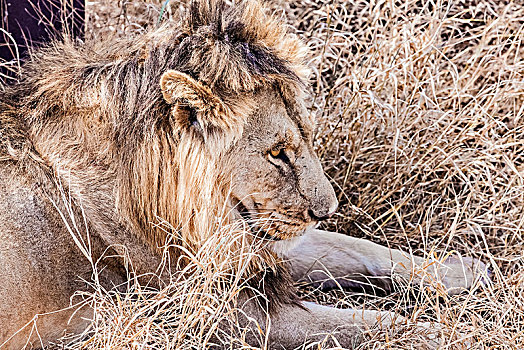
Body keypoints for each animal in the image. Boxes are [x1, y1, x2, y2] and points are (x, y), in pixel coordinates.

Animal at [0, 0, 488, 350]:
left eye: (306, 137)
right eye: (277, 153)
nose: (326, 209)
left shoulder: (252, 242)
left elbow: (353, 248)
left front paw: (458, 271)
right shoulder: (215, 313)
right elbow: (365, 324)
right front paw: (444, 335)